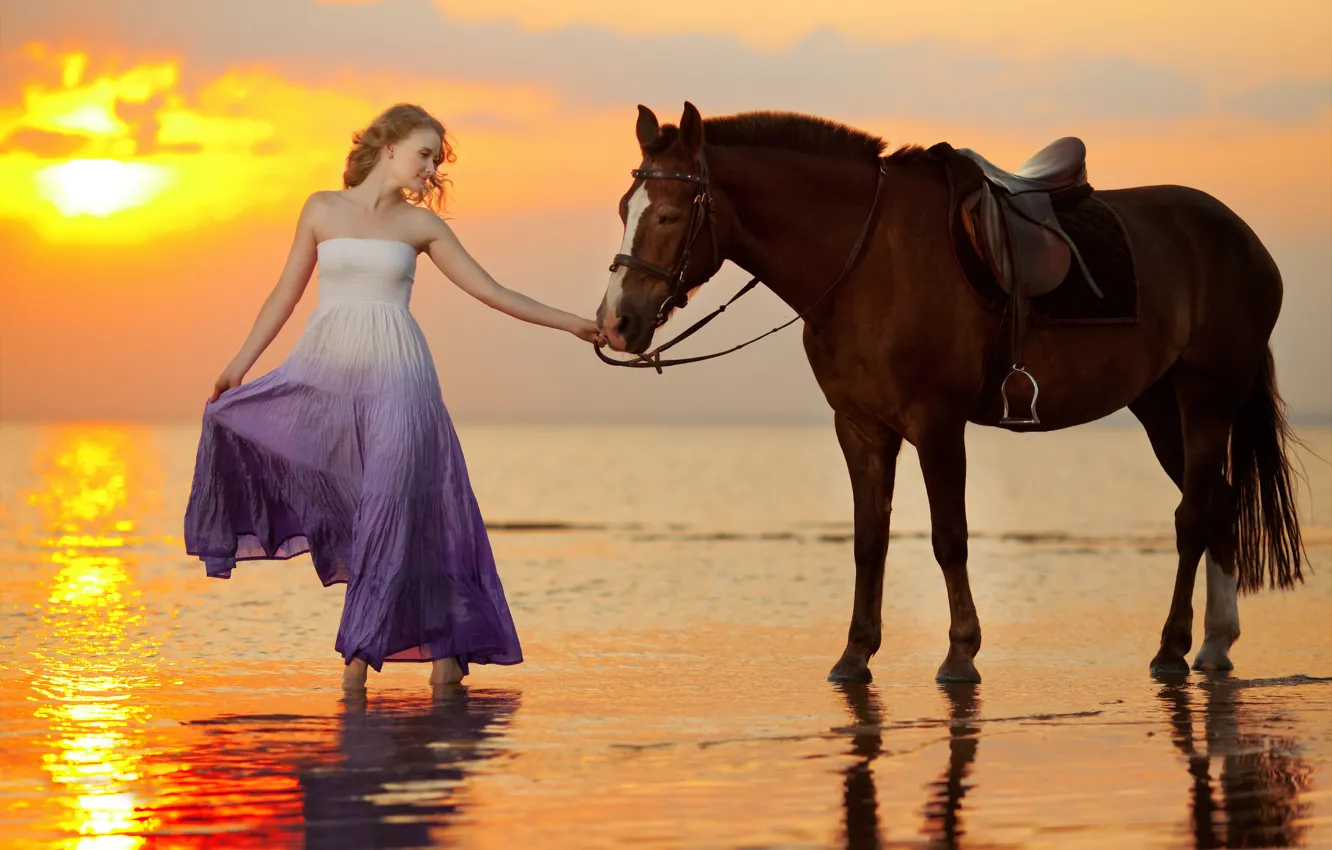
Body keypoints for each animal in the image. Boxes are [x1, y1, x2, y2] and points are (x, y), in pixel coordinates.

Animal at [594, 102, 1306, 684]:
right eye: (625, 211)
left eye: (668, 214)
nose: (617, 322)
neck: (866, 260)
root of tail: (1242, 238)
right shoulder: (860, 427)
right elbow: (869, 541)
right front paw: (855, 655)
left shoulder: (936, 424)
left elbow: (949, 537)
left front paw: (961, 652)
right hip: (1160, 407)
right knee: (1217, 503)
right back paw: (1215, 643)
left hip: (1207, 397)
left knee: (1193, 516)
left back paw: (1173, 647)